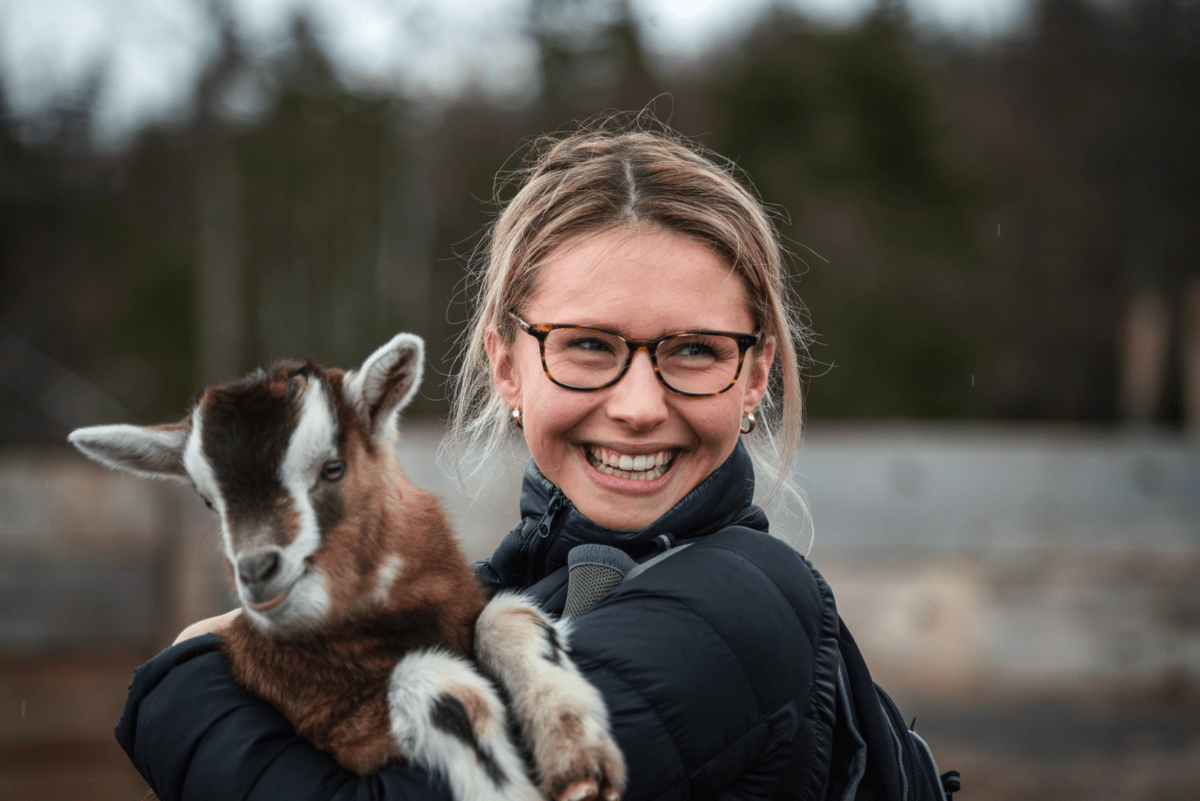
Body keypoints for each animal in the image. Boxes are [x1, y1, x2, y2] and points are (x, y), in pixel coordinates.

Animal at [69, 330, 624, 801]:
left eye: (333, 468)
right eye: (208, 501)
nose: (258, 572)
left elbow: (509, 614)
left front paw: (578, 758)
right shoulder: (349, 735)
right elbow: (440, 685)